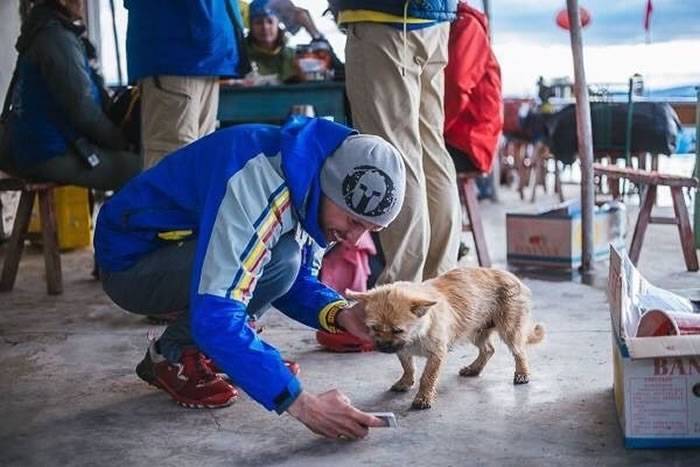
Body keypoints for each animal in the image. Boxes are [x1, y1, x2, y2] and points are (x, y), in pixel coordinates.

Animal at [348, 266, 544, 410]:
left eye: (398, 330)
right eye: (374, 328)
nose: (384, 348)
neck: (418, 332)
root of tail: (513, 277)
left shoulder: (436, 354)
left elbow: (427, 377)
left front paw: (423, 398)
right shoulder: (403, 350)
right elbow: (408, 367)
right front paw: (406, 381)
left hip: (509, 330)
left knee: (519, 352)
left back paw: (522, 373)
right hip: (475, 330)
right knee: (488, 350)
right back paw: (474, 368)